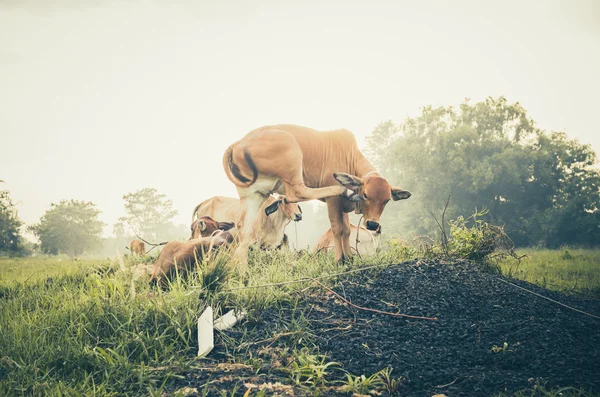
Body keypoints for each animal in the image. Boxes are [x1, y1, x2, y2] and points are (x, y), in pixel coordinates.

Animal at [223, 124, 410, 272]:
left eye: (387, 200)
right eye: (365, 195)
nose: (372, 224)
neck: (350, 157)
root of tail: (238, 143)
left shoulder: (343, 208)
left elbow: (347, 230)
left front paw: (349, 258)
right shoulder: (334, 203)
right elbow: (338, 229)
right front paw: (339, 260)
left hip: (255, 194)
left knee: (244, 229)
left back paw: (242, 274)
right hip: (291, 152)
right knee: (296, 192)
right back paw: (341, 188)